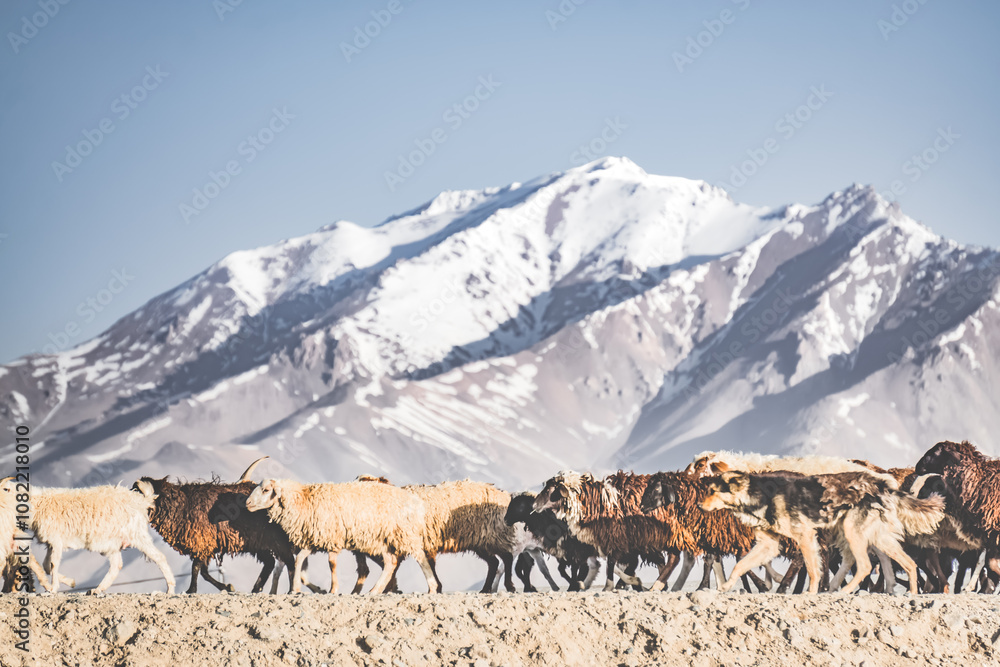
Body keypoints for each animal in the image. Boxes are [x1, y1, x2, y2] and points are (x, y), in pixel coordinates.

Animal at [28, 483, 175, 594]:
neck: (39, 504)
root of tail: (140, 501)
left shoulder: (56, 540)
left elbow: (53, 564)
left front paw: (54, 588)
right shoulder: (50, 543)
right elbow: (46, 566)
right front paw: (69, 582)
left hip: (137, 535)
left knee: (159, 557)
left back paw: (170, 590)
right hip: (114, 542)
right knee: (116, 565)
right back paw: (97, 590)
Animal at [245, 478, 437, 594]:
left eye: (266, 490)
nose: (247, 503)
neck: (304, 500)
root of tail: (416, 502)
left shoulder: (332, 536)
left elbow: (332, 564)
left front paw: (333, 589)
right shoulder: (315, 538)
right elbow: (299, 560)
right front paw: (296, 589)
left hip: (403, 534)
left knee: (420, 559)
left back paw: (433, 587)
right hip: (383, 539)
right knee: (391, 563)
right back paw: (374, 590)